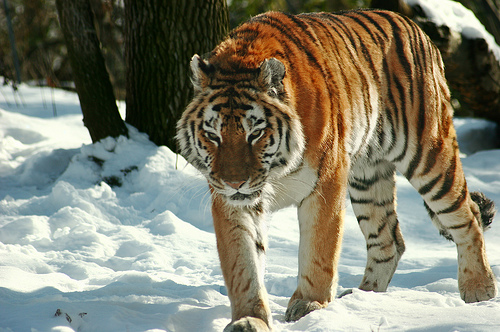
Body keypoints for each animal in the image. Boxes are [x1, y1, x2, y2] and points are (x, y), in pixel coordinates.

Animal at [175, 9, 496, 330]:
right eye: (213, 135)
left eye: (255, 134)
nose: (235, 182)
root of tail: (415, 27)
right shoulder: (230, 202)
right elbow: (242, 263)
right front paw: (249, 318)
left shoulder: (325, 183)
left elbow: (319, 251)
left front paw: (310, 304)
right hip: (367, 178)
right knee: (389, 241)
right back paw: (363, 298)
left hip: (429, 155)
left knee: (467, 215)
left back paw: (479, 288)